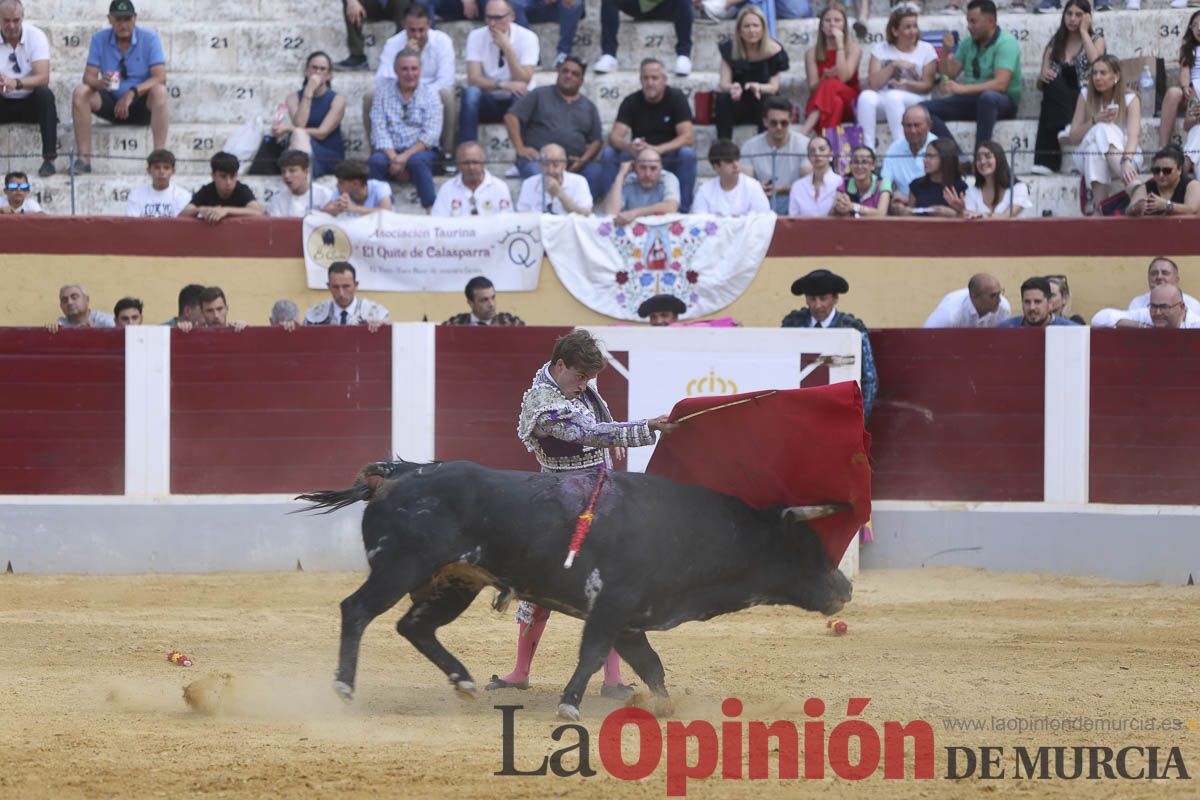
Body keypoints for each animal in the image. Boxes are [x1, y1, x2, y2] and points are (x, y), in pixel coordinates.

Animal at [300, 460, 854, 724]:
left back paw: (463, 681)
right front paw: (569, 705)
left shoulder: (629, 620)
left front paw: (666, 708)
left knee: (413, 626)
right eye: (807, 548)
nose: (845, 588)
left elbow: (651, 666)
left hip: (454, 583)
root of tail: (395, 477)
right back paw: (344, 687)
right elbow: (591, 655)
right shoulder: (609, 608)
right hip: (398, 568)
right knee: (357, 610)